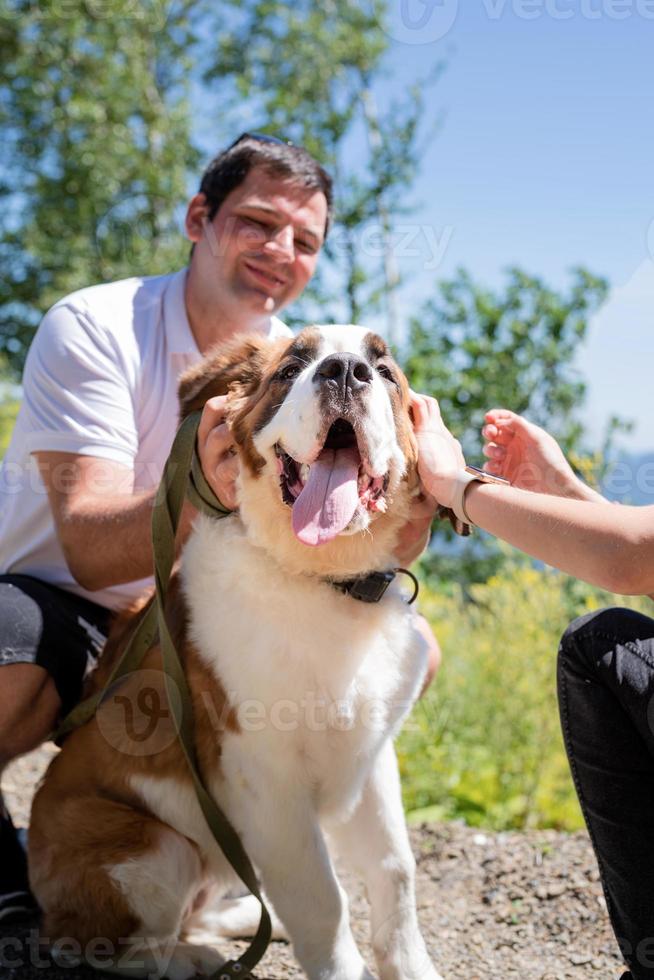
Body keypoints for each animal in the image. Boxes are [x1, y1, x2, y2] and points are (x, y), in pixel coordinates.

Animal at [26, 328, 446, 980]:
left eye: (383, 372)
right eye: (292, 368)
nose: (345, 371)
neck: (322, 582)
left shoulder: (370, 756)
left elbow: (396, 871)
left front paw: (411, 966)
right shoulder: (268, 780)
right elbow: (322, 894)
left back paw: (247, 918)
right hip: (153, 846)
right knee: (107, 945)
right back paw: (190, 958)